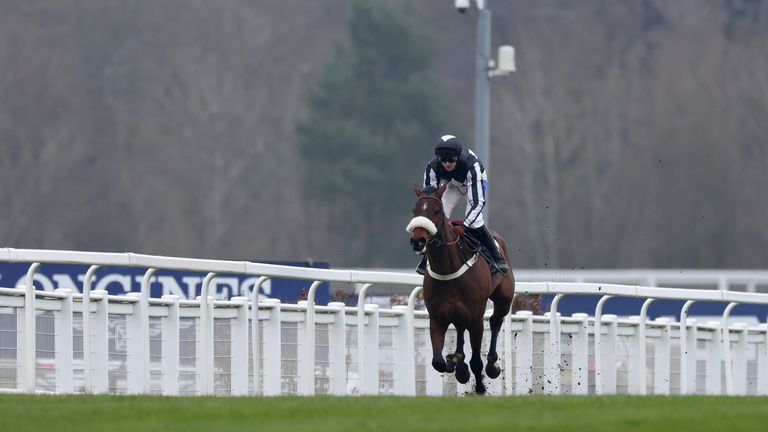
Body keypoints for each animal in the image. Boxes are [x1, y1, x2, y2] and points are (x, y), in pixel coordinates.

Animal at [402, 183, 516, 394]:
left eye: (437, 211)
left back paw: (492, 365)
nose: (418, 241)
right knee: (460, 328)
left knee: (495, 321)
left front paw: (479, 387)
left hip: (503, 298)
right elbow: (438, 362)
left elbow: (476, 361)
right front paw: (456, 364)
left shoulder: (476, 318)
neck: (448, 268)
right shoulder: (437, 317)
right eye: (415, 211)